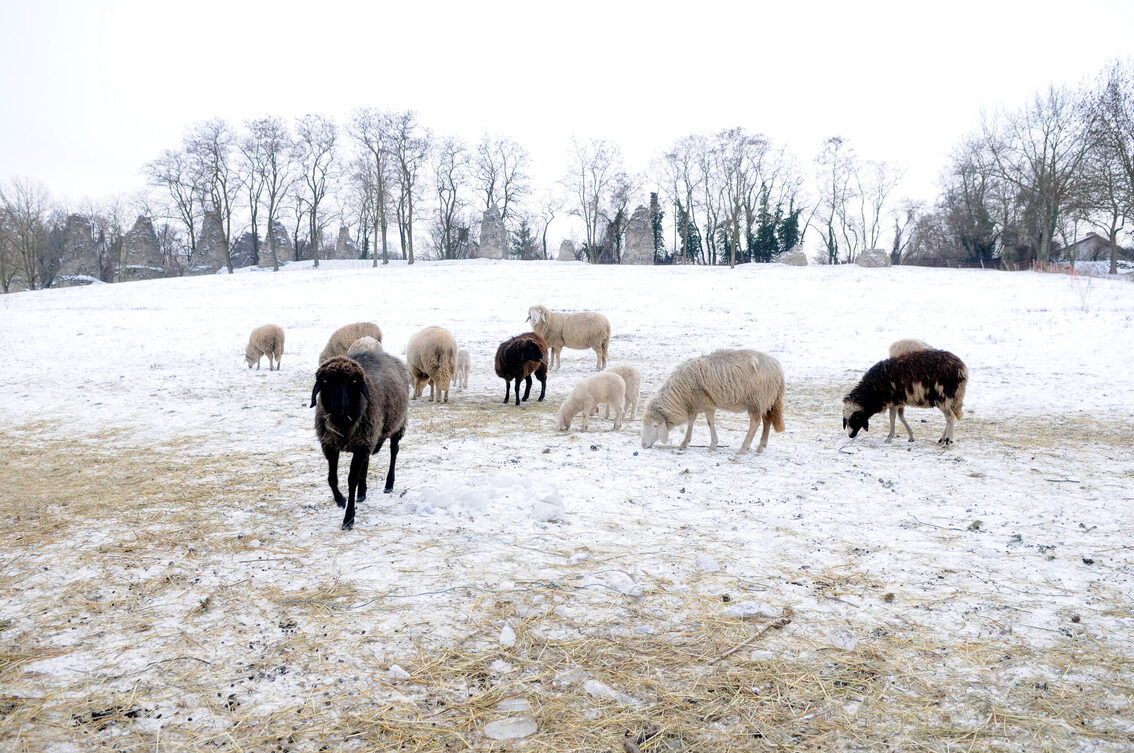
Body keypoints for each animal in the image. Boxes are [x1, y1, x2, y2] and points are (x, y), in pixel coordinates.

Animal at [310, 341, 409, 530]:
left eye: (353, 381)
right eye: (325, 381)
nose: (339, 410)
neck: (343, 425)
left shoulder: (360, 445)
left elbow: (351, 481)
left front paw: (349, 518)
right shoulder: (330, 445)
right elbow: (332, 479)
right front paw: (340, 500)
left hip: (397, 425)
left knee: (394, 451)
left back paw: (388, 484)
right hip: (369, 436)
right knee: (367, 460)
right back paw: (362, 493)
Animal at [641, 349, 785, 454]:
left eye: (655, 425)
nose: (643, 445)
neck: (681, 396)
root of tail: (778, 368)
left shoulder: (706, 404)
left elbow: (709, 422)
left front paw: (712, 444)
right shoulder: (694, 405)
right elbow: (691, 421)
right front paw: (685, 442)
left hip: (757, 400)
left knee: (755, 423)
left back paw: (743, 448)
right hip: (767, 400)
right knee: (767, 421)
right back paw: (761, 447)